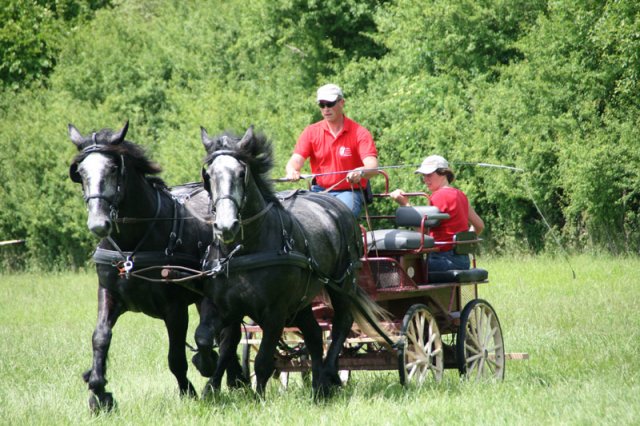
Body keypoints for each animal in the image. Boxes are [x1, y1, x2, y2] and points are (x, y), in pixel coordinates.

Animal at [69, 121, 240, 412]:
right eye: (81, 172)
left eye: (112, 168)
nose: (98, 224)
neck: (132, 245)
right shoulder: (109, 293)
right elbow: (100, 337)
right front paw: (98, 389)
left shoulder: (174, 308)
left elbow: (176, 357)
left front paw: (188, 391)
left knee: (230, 339)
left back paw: (213, 381)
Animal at [192, 125, 388, 398]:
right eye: (208, 175)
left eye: (241, 173)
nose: (225, 226)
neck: (244, 250)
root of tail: (337, 205)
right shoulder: (222, 306)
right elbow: (211, 340)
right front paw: (207, 372)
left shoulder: (275, 313)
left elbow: (263, 360)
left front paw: (258, 397)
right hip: (302, 301)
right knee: (314, 334)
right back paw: (320, 385)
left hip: (342, 284)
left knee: (341, 324)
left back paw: (329, 374)